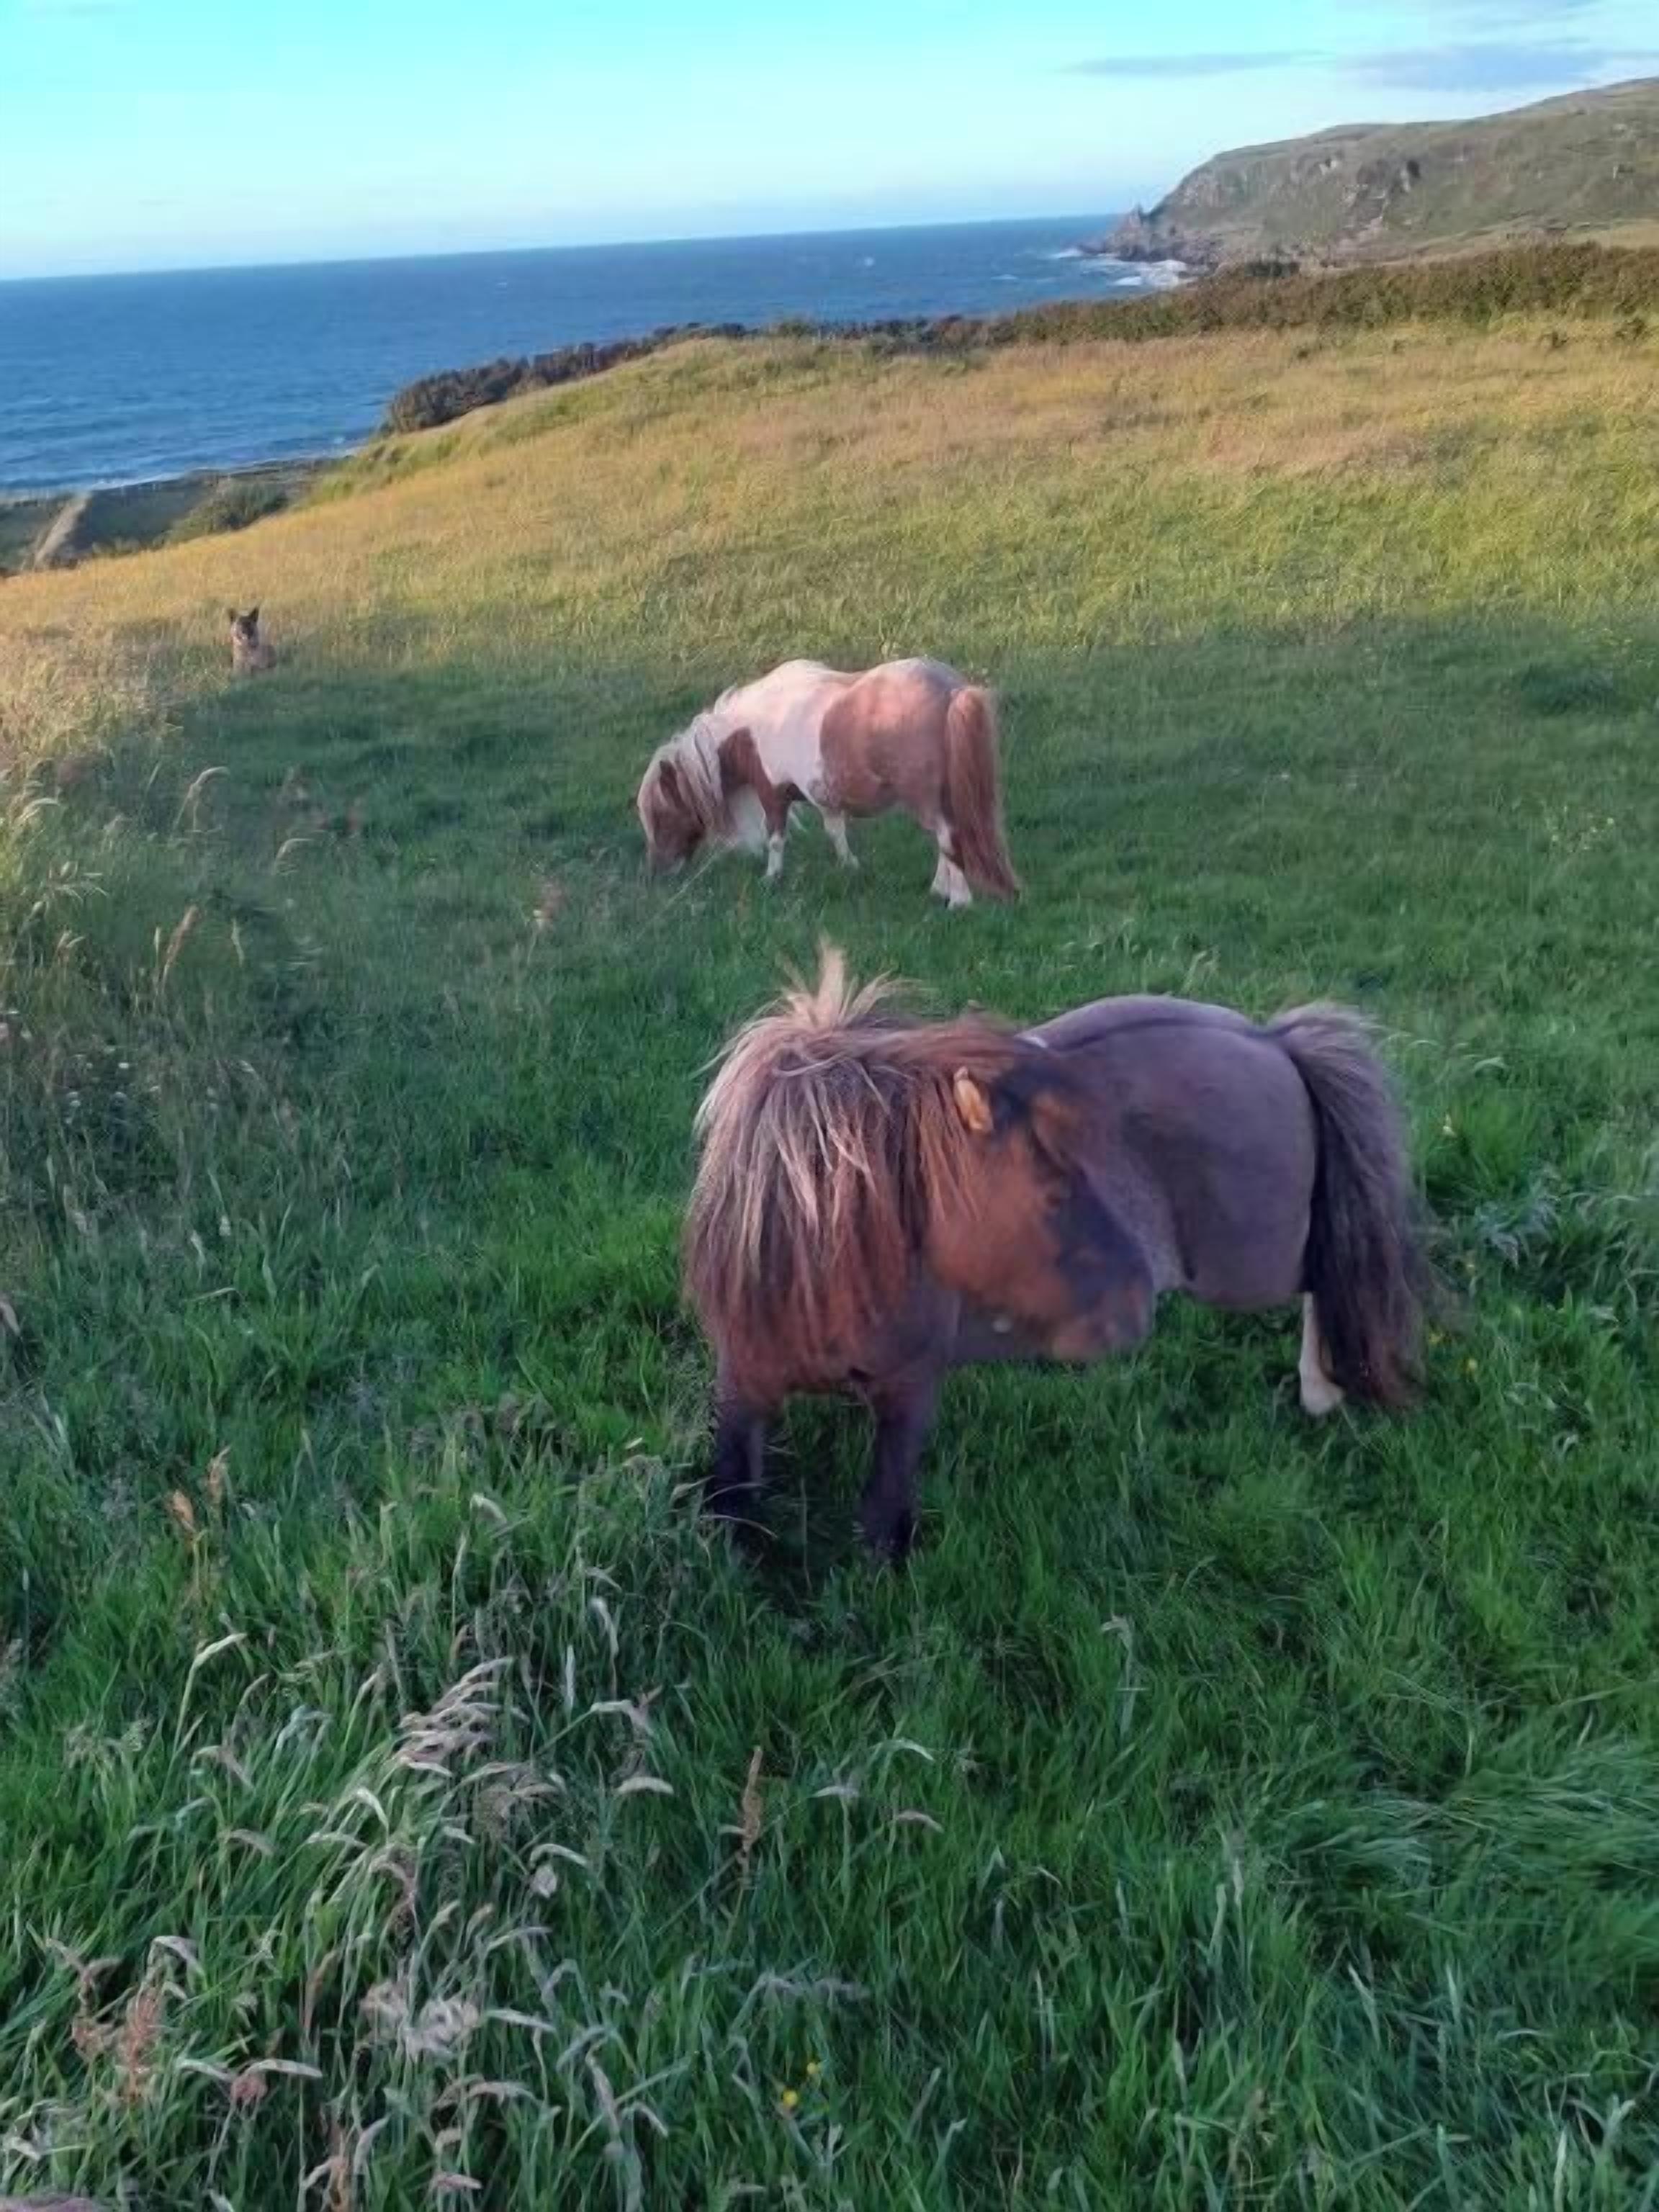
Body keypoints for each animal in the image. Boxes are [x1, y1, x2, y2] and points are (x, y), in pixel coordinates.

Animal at [636, 658, 1018, 907]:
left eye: (662, 815)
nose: (657, 873)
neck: (756, 728)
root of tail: (951, 691)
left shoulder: (773, 794)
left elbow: (776, 838)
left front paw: (771, 878)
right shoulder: (826, 799)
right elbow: (836, 833)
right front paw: (851, 867)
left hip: (925, 798)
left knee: (947, 838)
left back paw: (958, 900)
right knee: (946, 841)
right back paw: (940, 890)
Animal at [685, 947, 1424, 1560]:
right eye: (1050, 1192)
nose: (1132, 1314)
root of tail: (1271, 1043)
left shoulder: (911, 1388)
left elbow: (882, 1509)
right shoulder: (744, 1380)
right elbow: (733, 1492)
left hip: (1250, 1262)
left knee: (1328, 1274)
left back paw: (1320, 1391)